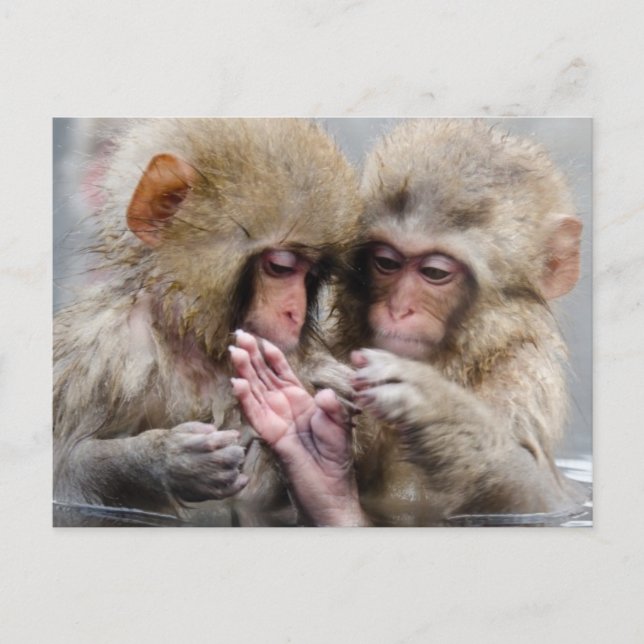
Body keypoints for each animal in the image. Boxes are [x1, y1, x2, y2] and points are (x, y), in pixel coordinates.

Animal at [53, 118, 361, 521]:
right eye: (281, 267)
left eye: (311, 275)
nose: (293, 312)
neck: (192, 338)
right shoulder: (104, 355)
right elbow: (65, 488)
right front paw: (161, 460)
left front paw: (313, 452)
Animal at [231, 119, 587, 526]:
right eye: (386, 262)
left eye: (435, 272)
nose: (398, 309)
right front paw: (312, 462)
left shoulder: (523, 380)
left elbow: (546, 502)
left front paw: (442, 410)